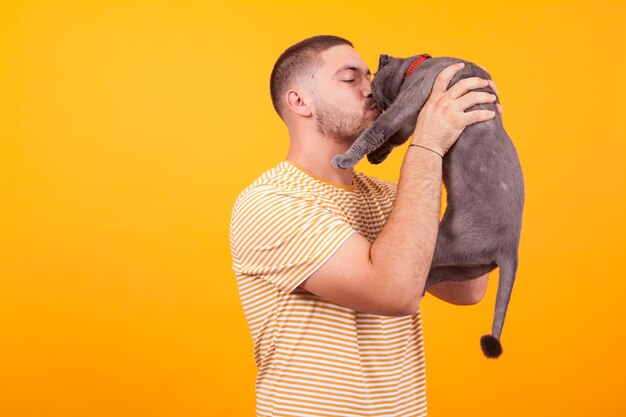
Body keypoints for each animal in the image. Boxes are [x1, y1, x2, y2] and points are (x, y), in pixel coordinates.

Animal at [332, 52, 520, 358]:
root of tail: (510, 250)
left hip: (437, 248)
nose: (371, 100)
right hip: (460, 267)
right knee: (420, 287)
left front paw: (348, 158)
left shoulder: (409, 99)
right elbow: (395, 137)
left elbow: (377, 131)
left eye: (371, 84)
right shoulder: (413, 116)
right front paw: (376, 157)